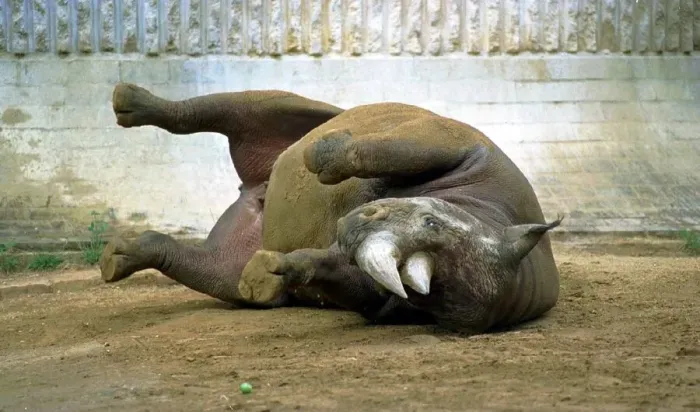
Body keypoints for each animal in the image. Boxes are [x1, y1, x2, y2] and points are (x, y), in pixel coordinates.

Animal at [100, 83, 562, 334]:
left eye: (424, 295)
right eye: (430, 221)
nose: (355, 229)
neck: (487, 213)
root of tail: (252, 193)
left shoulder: (382, 300)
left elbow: (334, 273)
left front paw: (272, 272)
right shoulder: (465, 149)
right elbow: (397, 151)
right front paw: (323, 157)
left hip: (232, 257)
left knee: (217, 271)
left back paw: (118, 257)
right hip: (303, 111)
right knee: (261, 106)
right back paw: (130, 102)